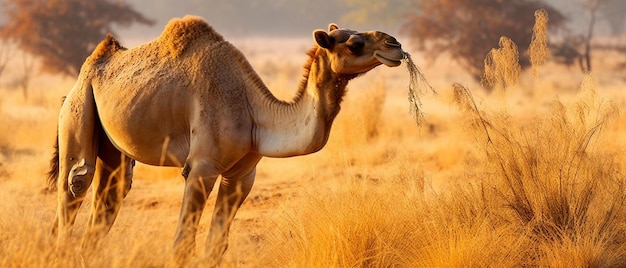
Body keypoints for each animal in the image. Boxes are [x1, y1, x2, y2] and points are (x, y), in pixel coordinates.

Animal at [46, 15, 402, 262]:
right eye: (353, 44)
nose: (395, 44)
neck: (255, 113)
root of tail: (85, 71)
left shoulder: (242, 174)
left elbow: (217, 243)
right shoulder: (201, 167)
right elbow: (183, 242)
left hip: (114, 142)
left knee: (112, 193)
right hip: (77, 109)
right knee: (76, 182)